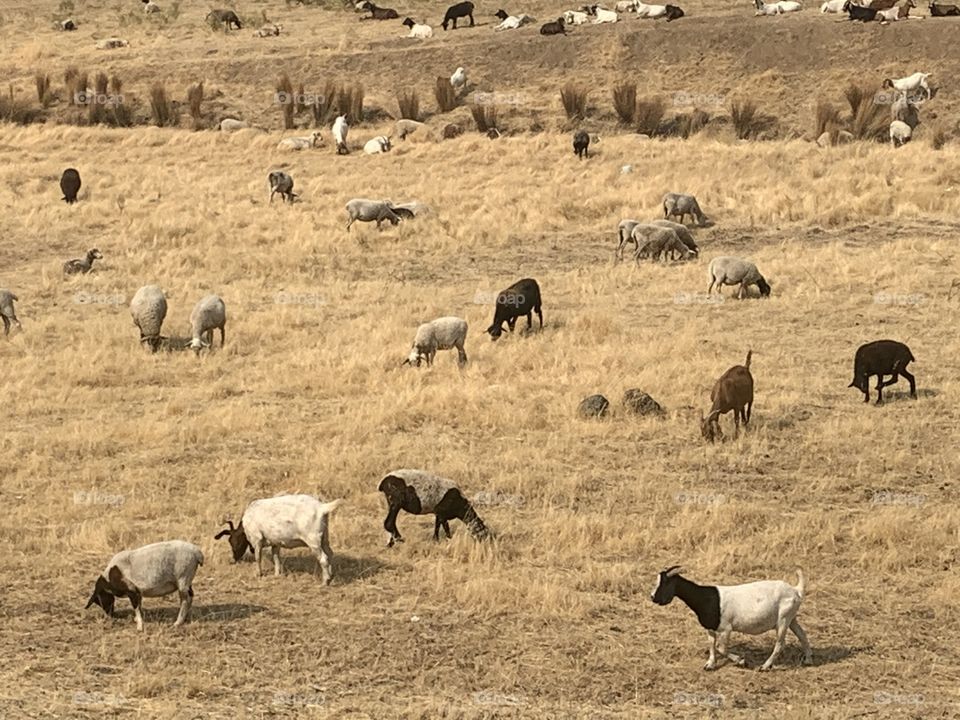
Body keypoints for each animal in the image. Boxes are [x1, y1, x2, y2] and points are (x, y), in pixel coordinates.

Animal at [215, 495, 344, 584]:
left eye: (233, 541)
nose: (233, 560)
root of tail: (322, 508)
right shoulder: (275, 542)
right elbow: (276, 557)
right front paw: (277, 574)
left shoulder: (257, 539)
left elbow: (258, 558)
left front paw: (258, 574)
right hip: (324, 538)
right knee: (330, 553)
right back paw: (331, 575)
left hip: (313, 541)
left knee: (323, 558)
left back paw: (325, 581)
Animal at [651, 566, 812, 671]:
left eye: (665, 583)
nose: (652, 597)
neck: (705, 598)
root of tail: (796, 590)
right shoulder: (711, 628)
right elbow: (711, 644)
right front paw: (710, 664)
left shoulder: (726, 628)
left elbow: (721, 648)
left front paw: (741, 661)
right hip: (791, 618)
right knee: (802, 635)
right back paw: (808, 660)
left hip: (783, 619)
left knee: (780, 644)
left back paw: (765, 666)